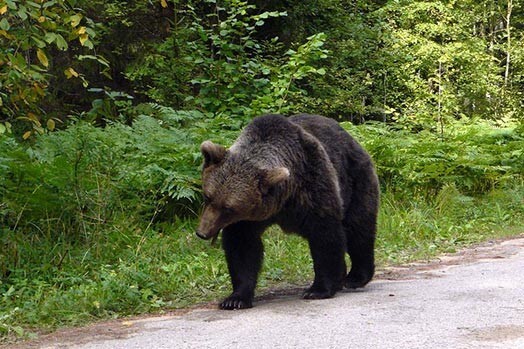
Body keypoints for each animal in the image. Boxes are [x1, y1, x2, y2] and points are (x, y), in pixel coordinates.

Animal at [194, 113, 378, 308]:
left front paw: (318, 289)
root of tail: (353, 140)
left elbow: (325, 235)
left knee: (358, 228)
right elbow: (242, 248)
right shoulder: (248, 219)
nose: (202, 232)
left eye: (228, 208)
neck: (285, 199)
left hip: (356, 180)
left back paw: (355, 277)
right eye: (208, 197)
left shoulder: (313, 184)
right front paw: (235, 299)